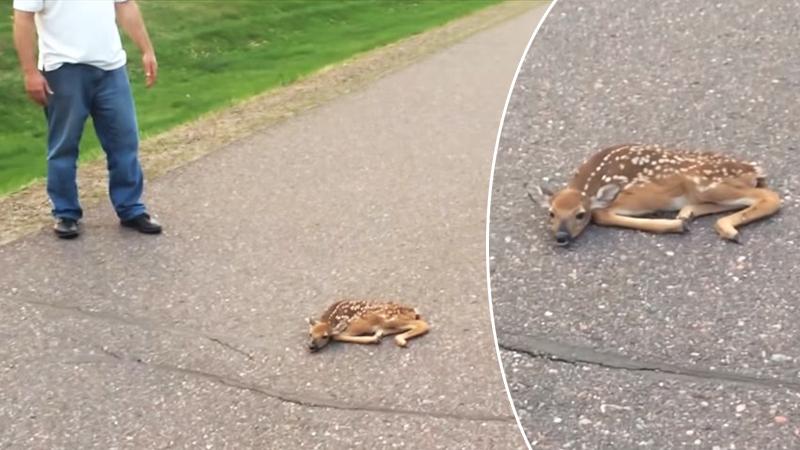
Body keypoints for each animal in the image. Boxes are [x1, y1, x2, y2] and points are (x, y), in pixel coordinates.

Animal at [531, 144, 781, 246]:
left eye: (580, 214)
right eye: (551, 213)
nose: (561, 236)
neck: (589, 184)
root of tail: (753, 170)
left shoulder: (632, 197)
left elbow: (601, 215)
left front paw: (674, 226)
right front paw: (680, 222)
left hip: (707, 184)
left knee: (770, 196)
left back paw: (727, 230)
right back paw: (688, 214)